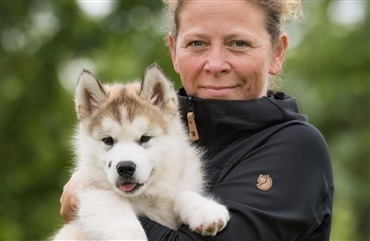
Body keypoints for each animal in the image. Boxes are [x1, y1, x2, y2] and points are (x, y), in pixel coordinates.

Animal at [52, 64, 228, 241]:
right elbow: (117, 210)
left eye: (145, 138)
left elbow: (180, 194)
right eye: (108, 140)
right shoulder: (93, 191)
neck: (145, 196)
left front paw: (204, 209)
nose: (125, 168)